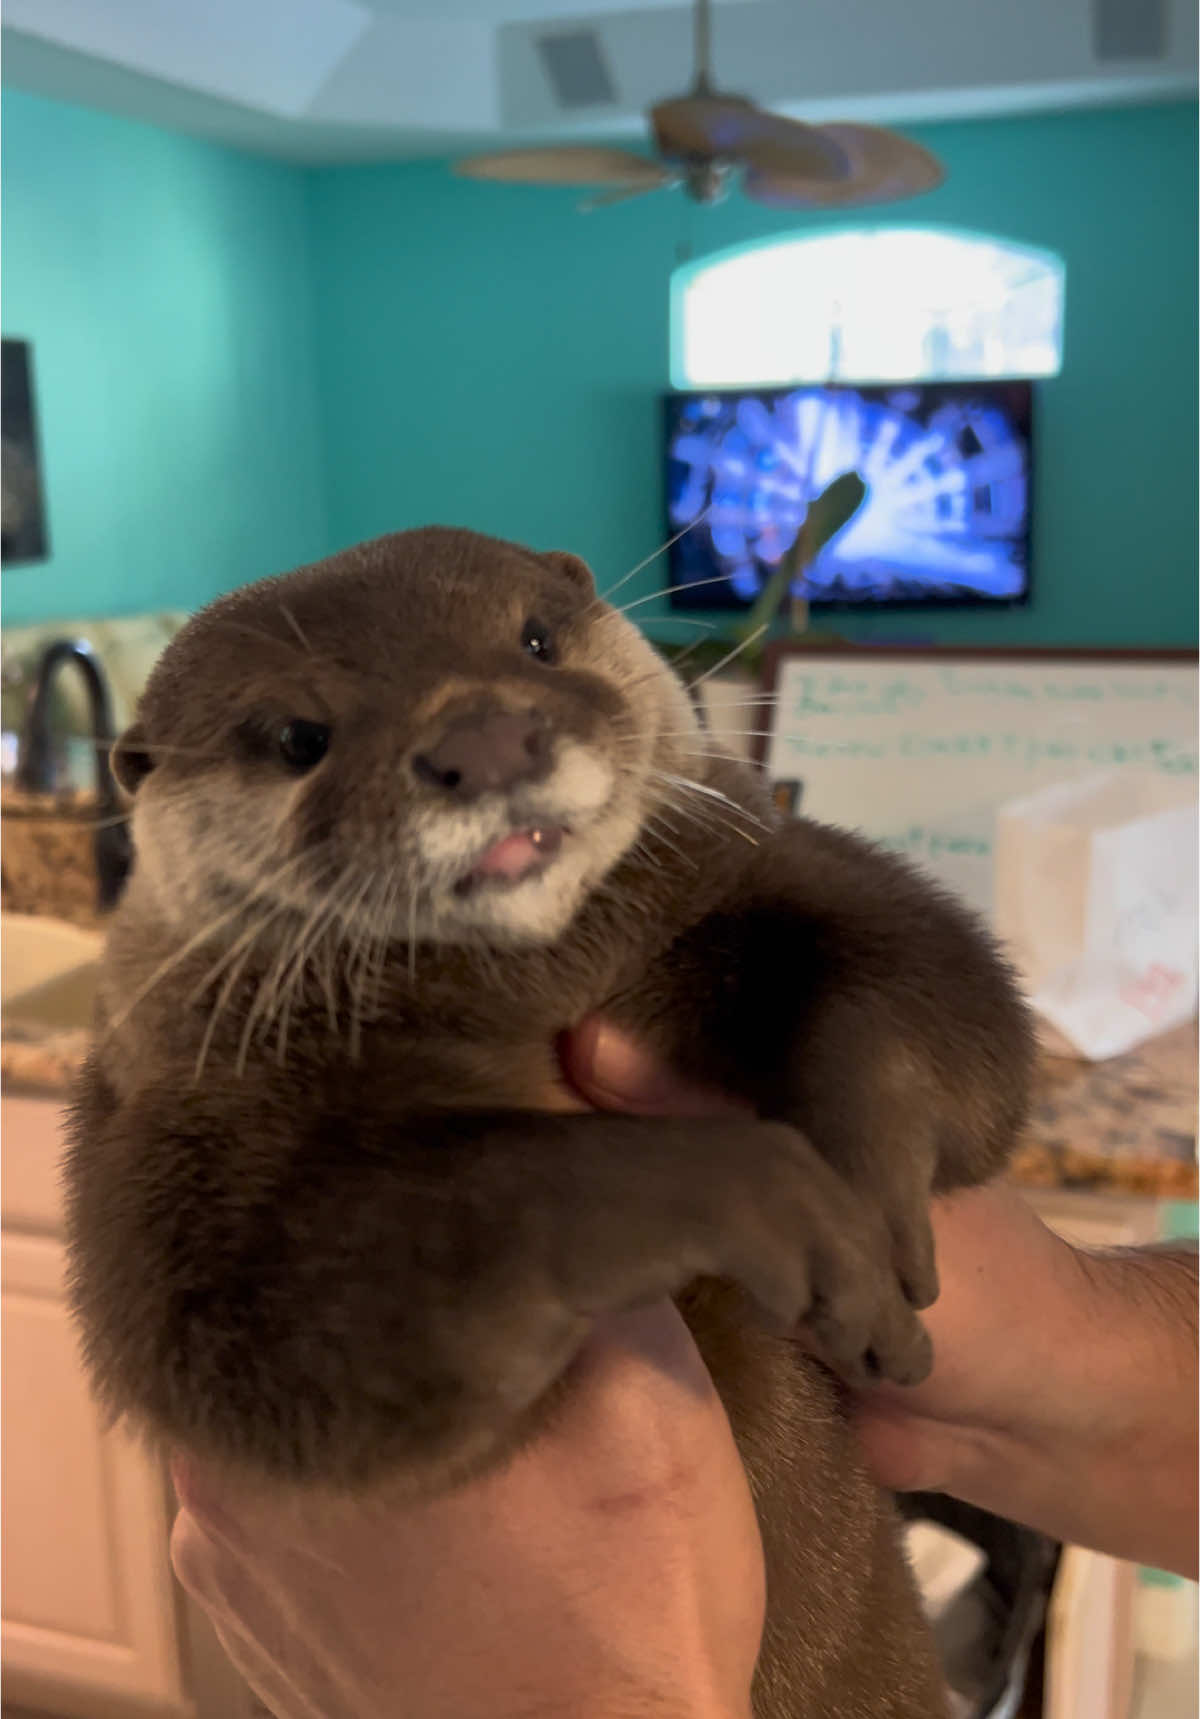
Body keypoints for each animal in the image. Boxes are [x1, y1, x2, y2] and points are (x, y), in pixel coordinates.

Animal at [65, 526, 1034, 1719]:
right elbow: (276, 1327)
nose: (481, 738)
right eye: (299, 738)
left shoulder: (744, 857)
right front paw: (767, 1196)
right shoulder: (172, 1146)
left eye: (533, 639)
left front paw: (872, 1186)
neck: (529, 986)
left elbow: (932, 989)